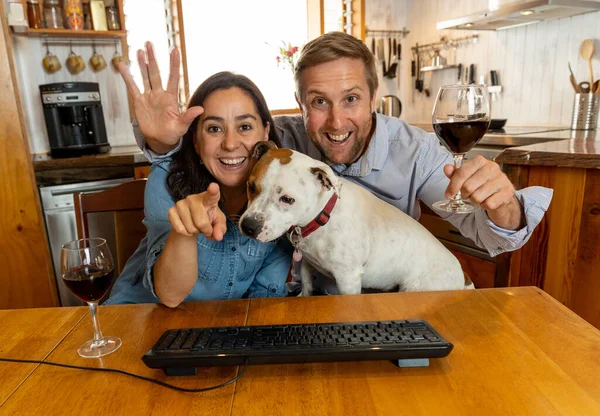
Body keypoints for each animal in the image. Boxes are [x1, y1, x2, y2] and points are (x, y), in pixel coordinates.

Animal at [239, 143, 474, 296]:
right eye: (251, 186)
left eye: (287, 199)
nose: (249, 226)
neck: (323, 217)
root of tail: (463, 277)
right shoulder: (307, 262)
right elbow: (306, 286)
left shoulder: (348, 278)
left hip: (415, 287)